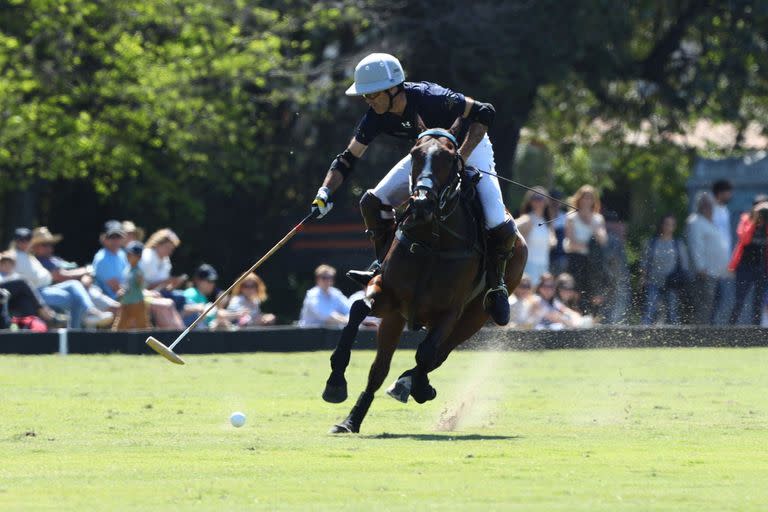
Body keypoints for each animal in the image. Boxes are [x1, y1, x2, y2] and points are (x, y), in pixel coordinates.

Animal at [320, 122, 524, 434]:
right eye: (415, 154)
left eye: (450, 158)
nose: (421, 203)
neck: (432, 241)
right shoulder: (389, 296)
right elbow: (358, 309)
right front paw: (335, 383)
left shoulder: (451, 311)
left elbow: (426, 353)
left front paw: (415, 386)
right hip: (397, 319)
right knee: (379, 370)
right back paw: (351, 420)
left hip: (475, 317)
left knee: (439, 353)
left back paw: (412, 383)